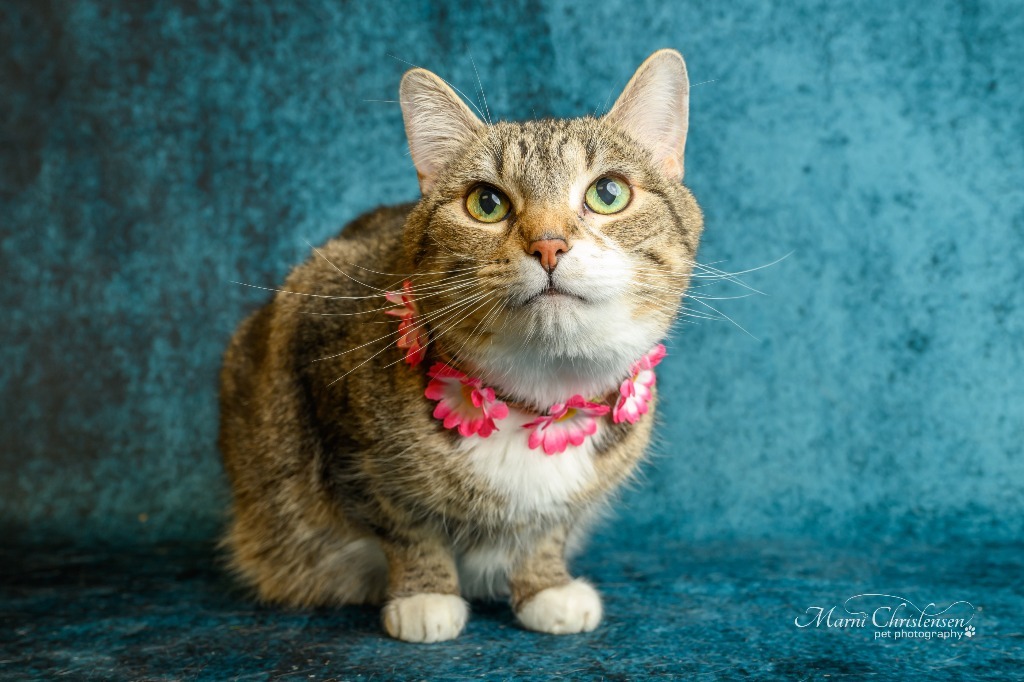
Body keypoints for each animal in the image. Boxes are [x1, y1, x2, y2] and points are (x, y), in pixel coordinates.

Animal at [218, 50, 704, 638]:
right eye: (486, 202)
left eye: (608, 193)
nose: (549, 244)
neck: (541, 394)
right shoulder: (335, 406)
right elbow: (405, 523)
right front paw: (425, 595)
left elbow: (551, 526)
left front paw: (545, 586)